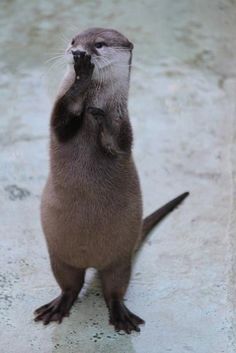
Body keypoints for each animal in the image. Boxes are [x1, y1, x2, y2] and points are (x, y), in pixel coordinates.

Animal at [34, 28, 189, 332]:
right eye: (73, 41)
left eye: (99, 44)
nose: (78, 53)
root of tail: (91, 261)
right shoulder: (59, 120)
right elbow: (61, 122)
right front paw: (81, 78)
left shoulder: (124, 123)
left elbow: (119, 143)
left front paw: (100, 117)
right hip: (58, 255)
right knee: (70, 286)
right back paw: (57, 306)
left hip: (120, 259)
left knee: (114, 289)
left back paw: (121, 315)